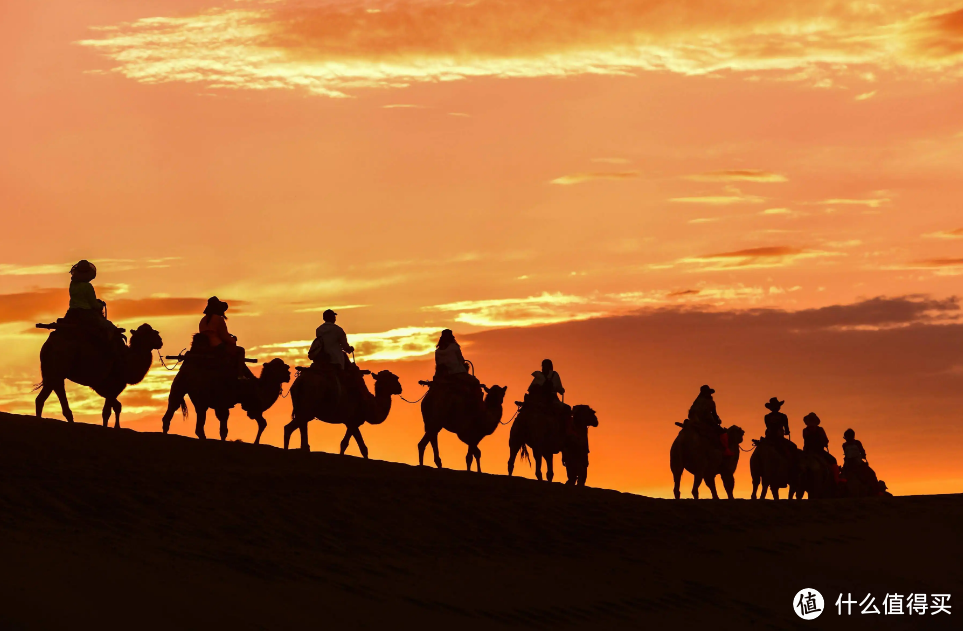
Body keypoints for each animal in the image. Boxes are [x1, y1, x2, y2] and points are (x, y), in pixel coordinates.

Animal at [35, 326, 164, 430]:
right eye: (150, 332)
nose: (160, 341)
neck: (127, 361)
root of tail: (48, 344)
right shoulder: (113, 384)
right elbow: (107, 411)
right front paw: (107, 427)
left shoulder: (105, 388)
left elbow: (117, 406)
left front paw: (117, 427)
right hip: (58, 369)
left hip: (53, 373)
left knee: (46, 396)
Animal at [162, 358, 292, 446]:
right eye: (282, 367)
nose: (289, 374)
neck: (257, 387)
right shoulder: (234, 405)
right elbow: (225, 429)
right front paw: (255, 443)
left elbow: (262, 423)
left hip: (180, 386)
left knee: (173, 408)